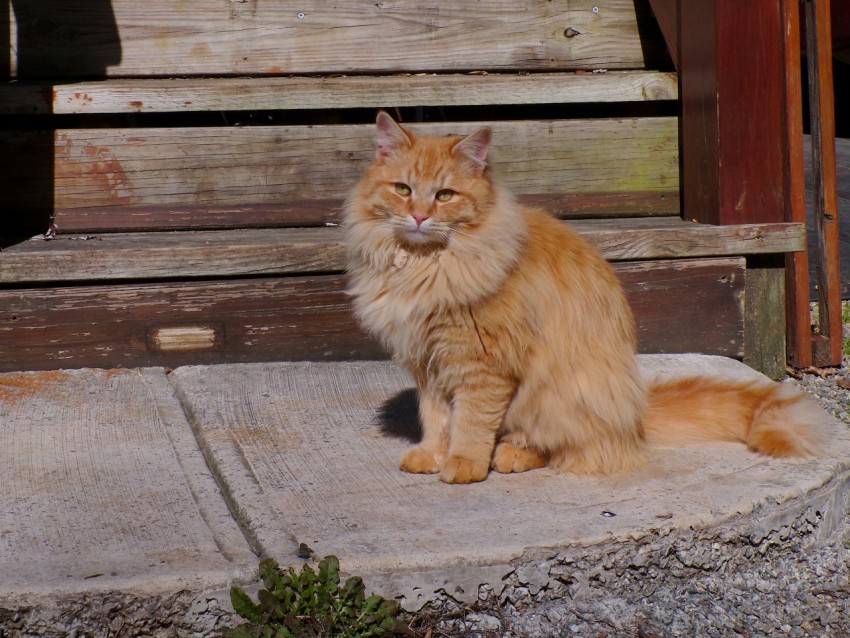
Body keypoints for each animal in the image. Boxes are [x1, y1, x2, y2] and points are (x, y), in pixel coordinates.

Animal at [342, 114, 820, 484]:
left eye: (444, 195)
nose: (420, 216)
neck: (424, 267)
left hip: (553, 395)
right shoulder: (428, 362)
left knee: (559, 446)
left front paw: (463, 464)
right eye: (403, 189)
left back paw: (509, 455)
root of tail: (635, 415)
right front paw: (431, 455)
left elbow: (471, 423)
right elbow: (436, 418)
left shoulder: (482, 364)